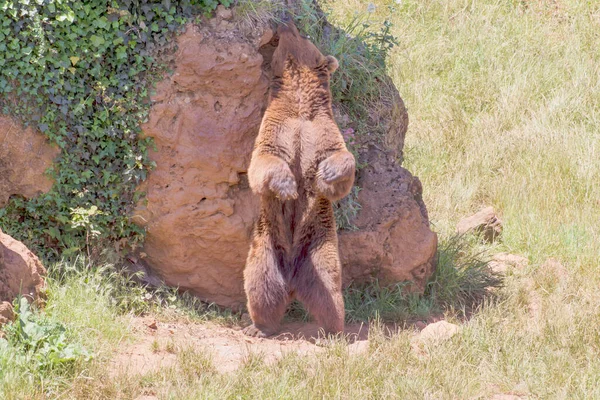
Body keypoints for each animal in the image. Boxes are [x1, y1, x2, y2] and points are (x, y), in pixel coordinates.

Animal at [244, 18, 356, 338]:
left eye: (303, 35)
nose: (285, 23)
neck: (299, 105)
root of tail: (294, 278)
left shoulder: (322, 131)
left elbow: (342, 160)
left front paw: (328, 172)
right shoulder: (276, 128)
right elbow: (263, 162)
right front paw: (286, 186)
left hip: (320, 246)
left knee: (330, 292)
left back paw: (331, 330)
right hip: (266, 247)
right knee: (261, 285)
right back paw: (259, 326)